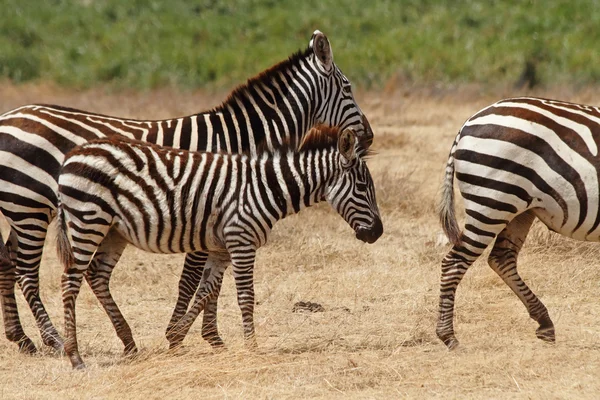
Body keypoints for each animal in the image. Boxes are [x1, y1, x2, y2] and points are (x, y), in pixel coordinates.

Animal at [57, 124, 384, 368]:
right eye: (362, 187)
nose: (378, 233)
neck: (266, 187)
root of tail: (74, 154)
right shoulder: (241, 241)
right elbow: (245, 296)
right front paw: (251, 347)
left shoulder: (221, 248)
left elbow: (206, 291)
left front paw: (178, 336)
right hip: (88, 220)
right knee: (70, 281)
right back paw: (75, 356)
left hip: (113, 232)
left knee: (97, 276)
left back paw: (128, 343)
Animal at [436, 95, 600, 348]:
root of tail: (468, 122)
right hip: (492, 201)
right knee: (455, 262)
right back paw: (448, 336)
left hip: (519, 209)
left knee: (501, 258)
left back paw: (544, 322)